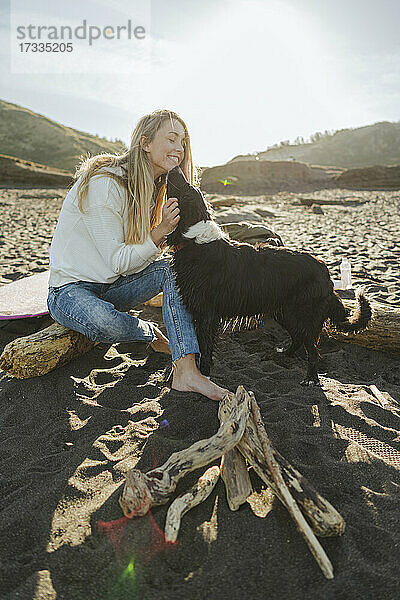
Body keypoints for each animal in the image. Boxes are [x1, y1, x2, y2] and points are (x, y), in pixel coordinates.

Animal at [166, 166, 372, 386]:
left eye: (185, 187)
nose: (174, 167)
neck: (195, 240)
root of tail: (325, 274)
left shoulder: (207, 314)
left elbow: (204, 347)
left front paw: (203, 375)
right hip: (284, 312)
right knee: (298, 339)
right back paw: (285, 354)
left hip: (302, 315)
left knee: (312, 350)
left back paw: (310, 379)